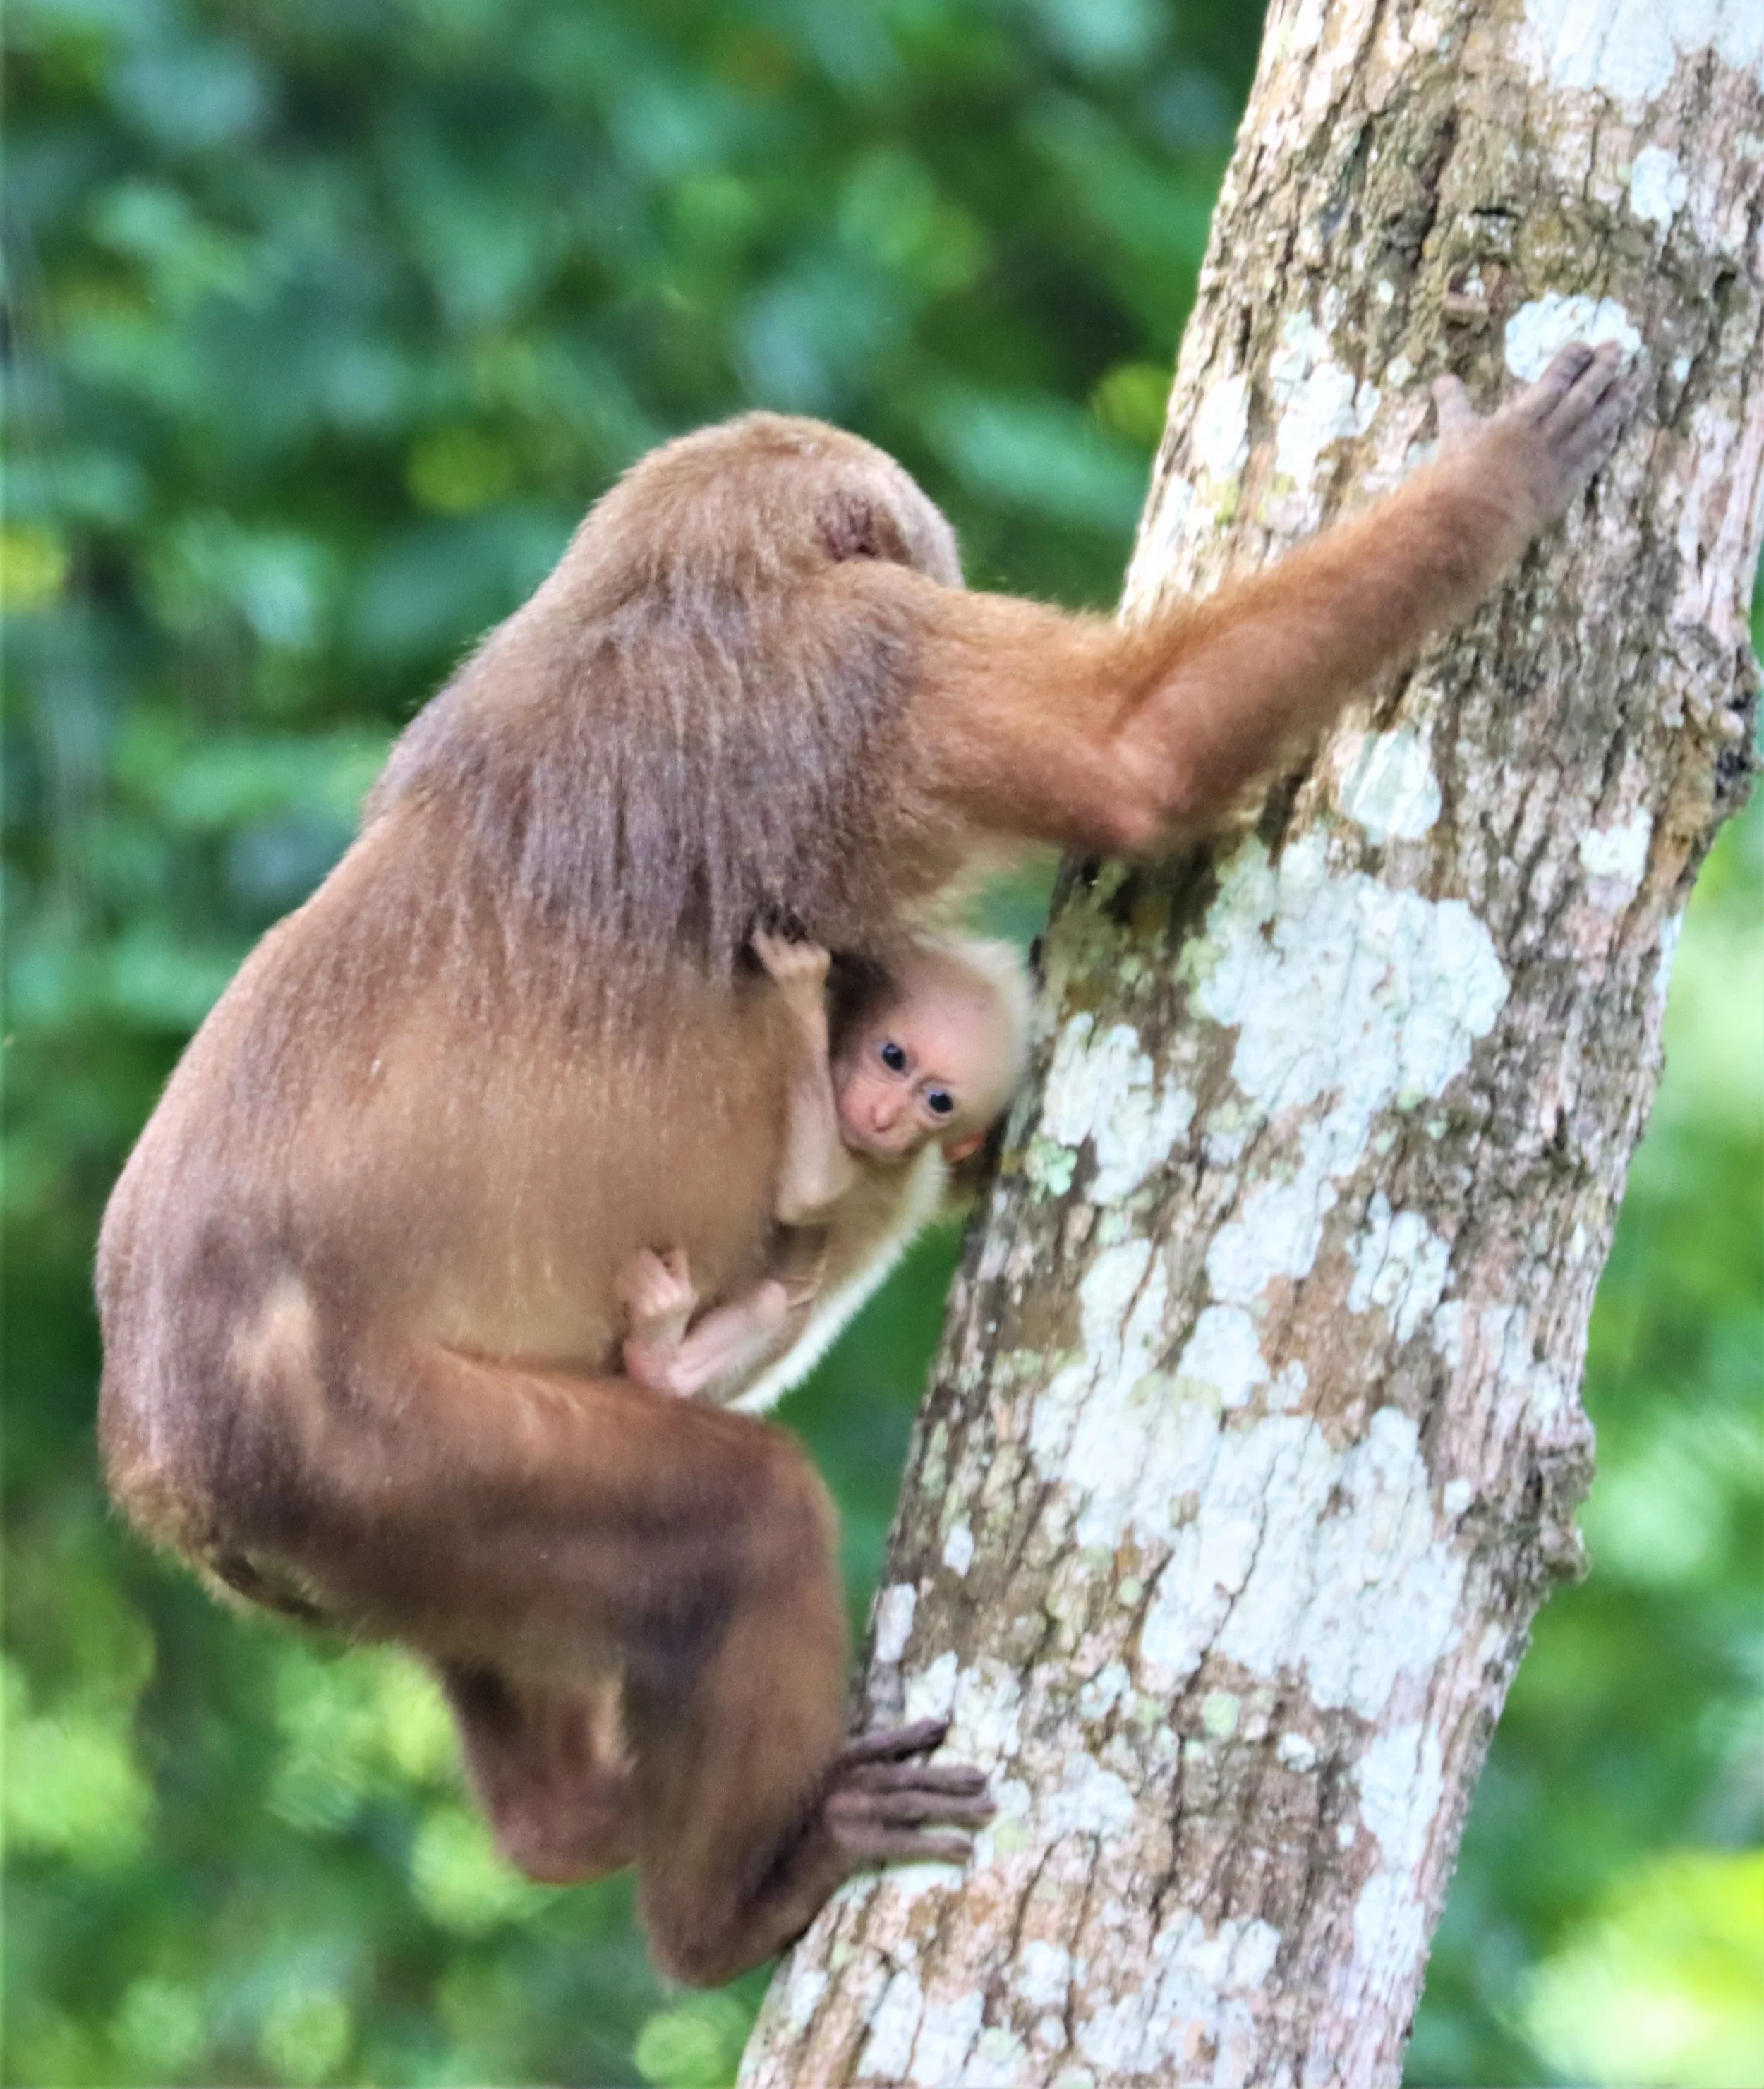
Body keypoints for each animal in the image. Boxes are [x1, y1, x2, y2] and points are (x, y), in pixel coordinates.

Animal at [616, 925, 1032, 1406]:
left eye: (938, 1101)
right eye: (894, 1057)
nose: (885, 1117)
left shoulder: (875, 1165)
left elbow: (810, 1197)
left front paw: (803, 1001)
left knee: (774, 1304)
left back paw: (659, 1360)